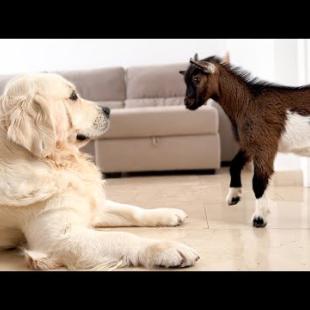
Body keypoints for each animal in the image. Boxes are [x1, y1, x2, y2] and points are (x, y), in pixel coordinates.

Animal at [0, 74, 200, 270]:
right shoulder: (59, 238)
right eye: (73, 96)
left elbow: (131, 210)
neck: (56, 161)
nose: (108, 109)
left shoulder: (91, 204)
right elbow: (122, 237)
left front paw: (167, 213)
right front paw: (167, 248)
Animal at [180, 53, 310, 228]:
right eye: (185, 80)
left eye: (196, 78)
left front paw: (259, 218)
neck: (246, 103)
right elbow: (234, 165)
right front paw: (234, 196)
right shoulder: (249, 144)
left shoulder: (264, 144)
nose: (188, 103)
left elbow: (258, 181)